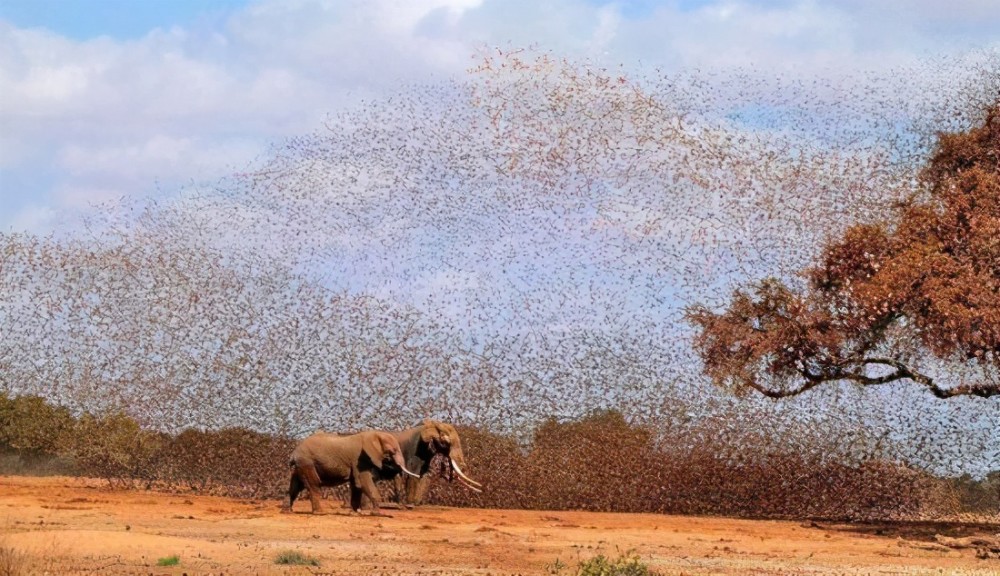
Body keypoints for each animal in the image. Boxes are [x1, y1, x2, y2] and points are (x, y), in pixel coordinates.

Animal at [284, 430, 420, 516]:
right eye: (393, 451)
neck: (374, 434)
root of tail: (293, 453)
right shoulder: (359, 460)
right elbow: (364, 483)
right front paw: (377, 513)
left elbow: (356, 485)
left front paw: (355, 513)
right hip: (307, 463)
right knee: (314, 486)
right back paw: (320, 513)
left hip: (301, 465)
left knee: (295, 486)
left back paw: (287, 511)